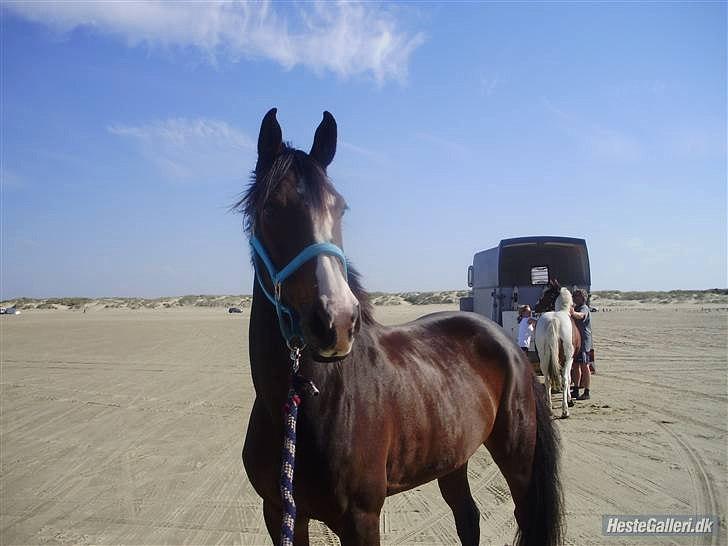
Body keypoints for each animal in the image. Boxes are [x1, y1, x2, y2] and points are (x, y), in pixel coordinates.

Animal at [237, 108, 564, 540]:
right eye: (271, 209)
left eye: (340, 208)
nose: (336, 320)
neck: (303, 404)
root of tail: (509, 345)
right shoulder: (279, 514)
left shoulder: (361, 519)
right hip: (453, 456)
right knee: (467, 517)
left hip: (518, 460)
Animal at [536, 284, 576, 416]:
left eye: (547, 293)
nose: (536, 306)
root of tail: (554, 320)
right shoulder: (570, 359)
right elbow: (568, 378)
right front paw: (569, 400)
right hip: (567, 358)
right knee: (564, 379)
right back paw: (565, 410)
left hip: (543, 359)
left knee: (547, 380)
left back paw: (549, 407)